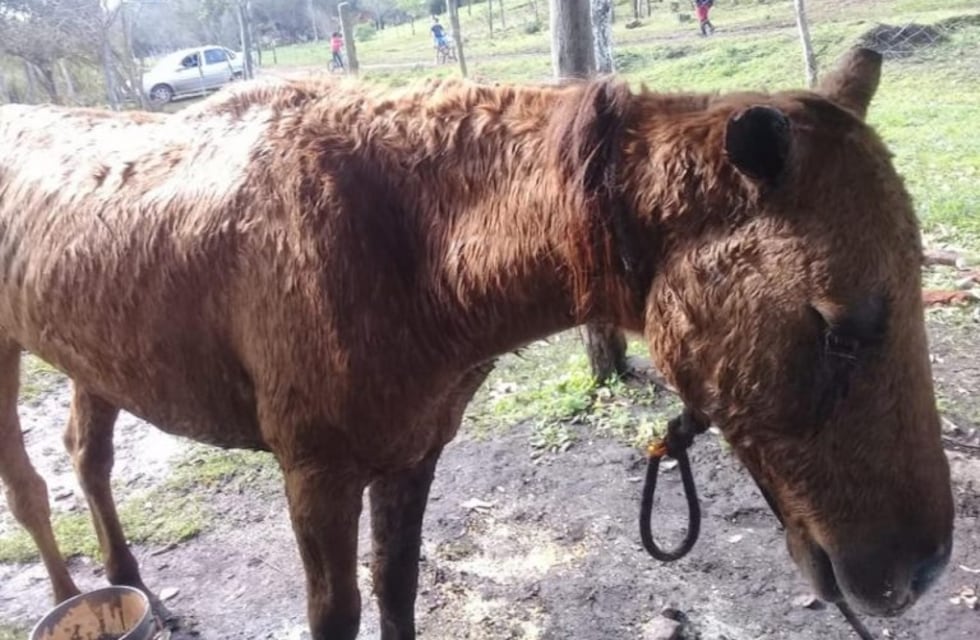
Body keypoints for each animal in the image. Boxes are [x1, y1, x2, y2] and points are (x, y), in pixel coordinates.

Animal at [0, 47, 953, 639]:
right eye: (836, 327)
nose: (922, 567)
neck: (418, 264)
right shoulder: (315, 471)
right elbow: (337, 613)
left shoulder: (411, 453)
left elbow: (397, 592)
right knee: (33, 487)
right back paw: (71, 598)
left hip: (96, 358)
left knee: (87, 456)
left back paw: (129, 583)